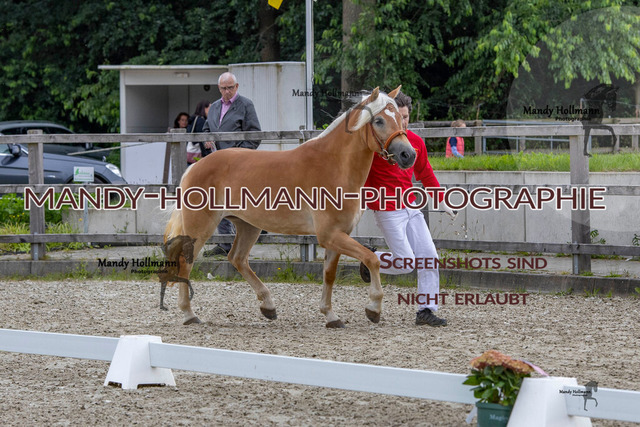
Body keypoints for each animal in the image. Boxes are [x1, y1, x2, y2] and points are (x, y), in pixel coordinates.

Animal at [163, 86, 416, 327]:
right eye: (379, 121)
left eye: (400, 118)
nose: (408, 154)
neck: (334, 165)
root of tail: (194, 167)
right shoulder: (330, 235)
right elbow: (372, 259)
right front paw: (374, 308)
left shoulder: (338, 236)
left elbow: (329, 275)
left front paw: (331, 316)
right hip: (201, 227)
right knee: (186, 263)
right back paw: (189, 315)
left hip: (248, 225)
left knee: (237, 258)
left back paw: (268, 306)